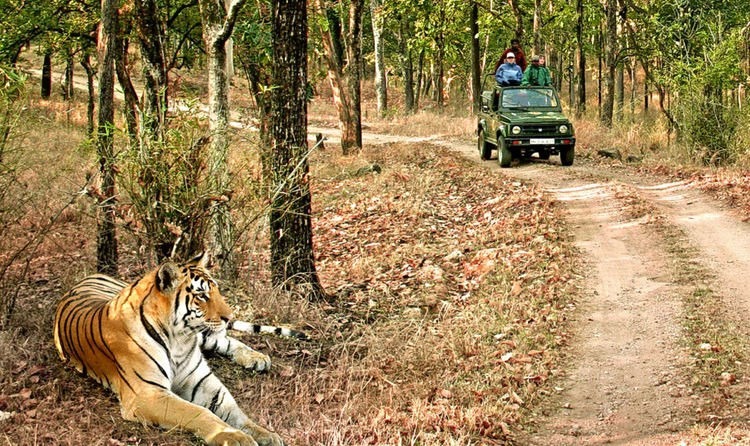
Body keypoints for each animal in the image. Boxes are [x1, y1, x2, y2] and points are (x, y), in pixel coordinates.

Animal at [52, 254, 294, 446]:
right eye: (202, 295)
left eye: (217, 290)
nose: (229, 316)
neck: (180, 339)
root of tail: (90, 275)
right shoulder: (147, 394)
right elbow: (199, 412)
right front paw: (235, 437)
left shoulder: (201, 381)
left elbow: (236, 412)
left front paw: (266, 434)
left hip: (207, 337)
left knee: (225, 339)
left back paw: (257, 358)